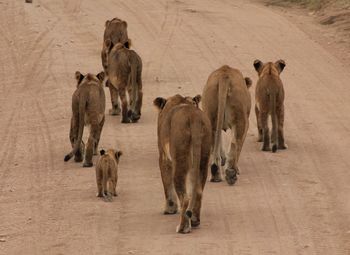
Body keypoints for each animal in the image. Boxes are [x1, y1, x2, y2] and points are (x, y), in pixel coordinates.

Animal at [153, 94, 211, 235]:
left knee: (185, 198)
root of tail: (194, 118)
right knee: (198, 191)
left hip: (180, 160)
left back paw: (183, 228)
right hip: (203, 158)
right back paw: (194, 221)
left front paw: (169, 209)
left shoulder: (164, 157)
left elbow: (166, 183)